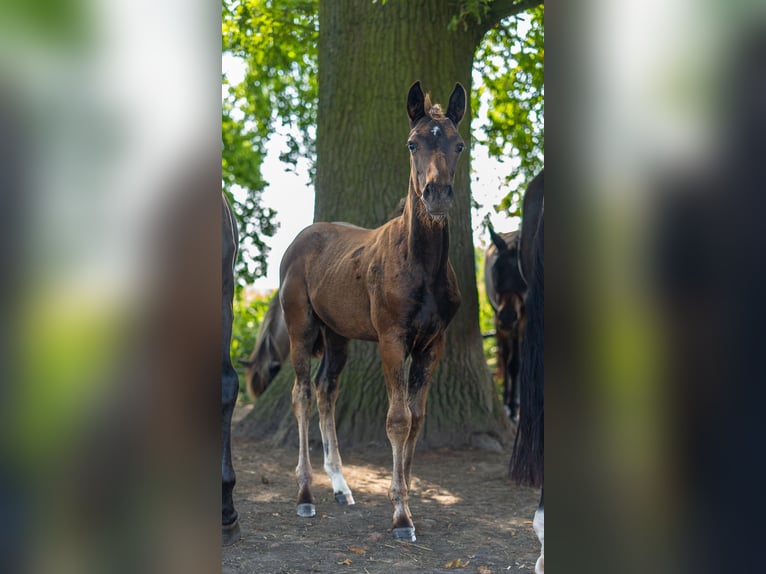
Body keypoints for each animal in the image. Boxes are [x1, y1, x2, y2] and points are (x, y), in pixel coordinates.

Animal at [280, 81, 464, 544]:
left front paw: (408, 500)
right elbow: (397, 419)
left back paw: (341, 488)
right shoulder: (391, 340)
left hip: (337, 335)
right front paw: (401, 517)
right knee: (302, 394)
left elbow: (417, 419)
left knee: (326, 390)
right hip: (300, 328)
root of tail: (299, 241)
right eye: (412, 143)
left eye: (459, 144)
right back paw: (305, 494)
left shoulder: (432, 344)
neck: (421, 264)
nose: (437, 195)